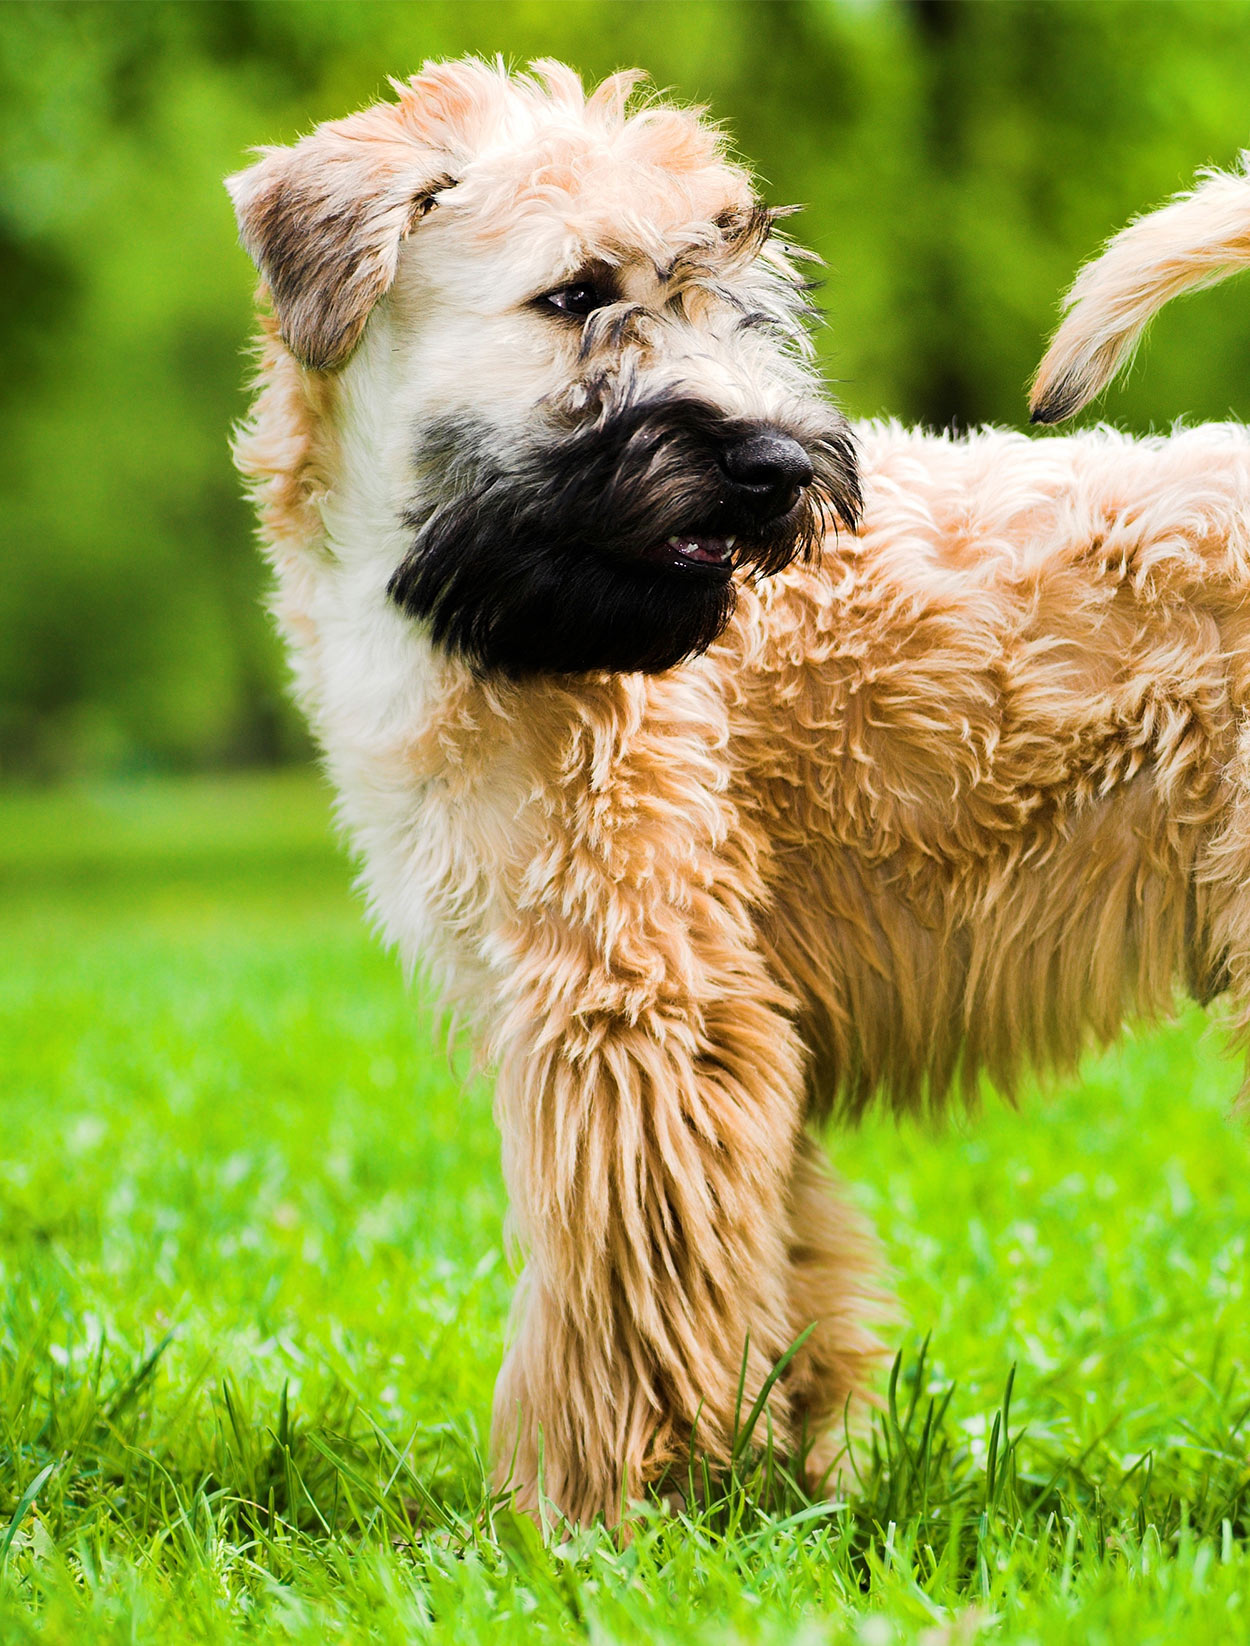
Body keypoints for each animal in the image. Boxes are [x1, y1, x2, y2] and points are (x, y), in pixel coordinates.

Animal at [230, 64, 1250, 1527]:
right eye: (576, 292)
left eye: (734, 291)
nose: (774, 464)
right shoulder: (736, 1025)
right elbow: (768, 1262)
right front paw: (775, 1483)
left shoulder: (630, 1002)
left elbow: (606, 1293)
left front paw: (571, 1511)